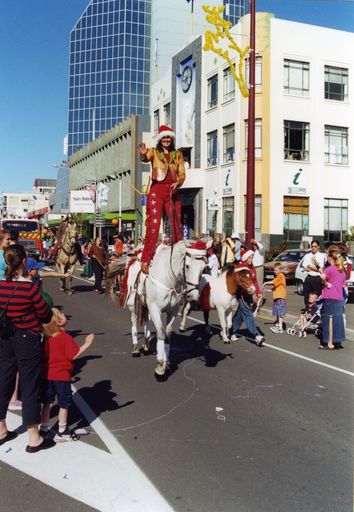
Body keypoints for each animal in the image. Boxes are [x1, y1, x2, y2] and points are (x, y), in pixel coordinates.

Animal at [124, 241, 207, 380]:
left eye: (203, 269)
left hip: (145, 305)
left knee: (146, 321)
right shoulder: (155, 309)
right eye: (187, 266)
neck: (168, 279)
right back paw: (135, 348)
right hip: (132, 303)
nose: (193, 297)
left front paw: (166, 363)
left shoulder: (172, 311)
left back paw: (146, 345)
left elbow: (167, 335)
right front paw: (160, 367)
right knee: (134, 321)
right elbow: (161, 333)